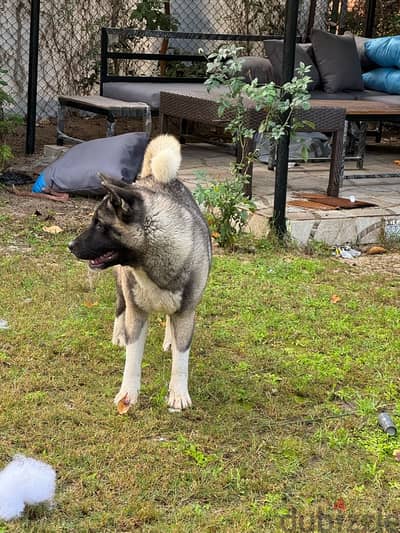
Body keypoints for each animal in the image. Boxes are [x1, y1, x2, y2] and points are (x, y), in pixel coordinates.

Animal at [69, 133, 212, 412]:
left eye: (100, 225)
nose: (70, 246)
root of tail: (150, 178)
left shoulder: (186, 313)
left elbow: (181, 359)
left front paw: (178, 394)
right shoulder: (137, 313)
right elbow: (132, 359)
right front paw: (128, 395)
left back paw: (169, 340)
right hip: (121, 284)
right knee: (120, 307)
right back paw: (119, 335)